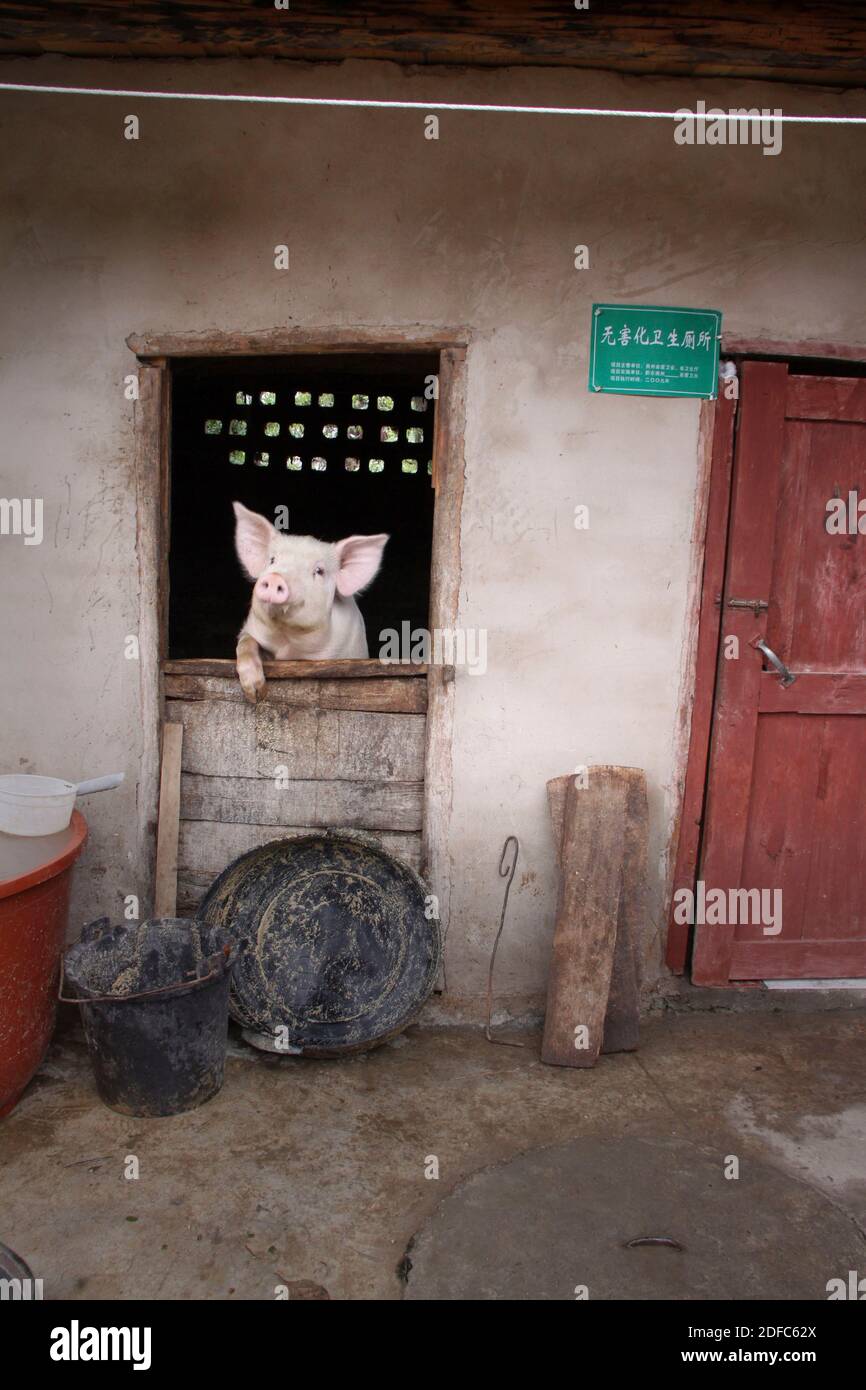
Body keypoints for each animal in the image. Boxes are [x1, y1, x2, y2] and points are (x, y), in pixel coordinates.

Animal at [233, 500, 389, 706]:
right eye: (272, 560)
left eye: (319, 571)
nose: (275, 577)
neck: (288, 641)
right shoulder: (251, 629)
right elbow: (246, 643)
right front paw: (256, 694)